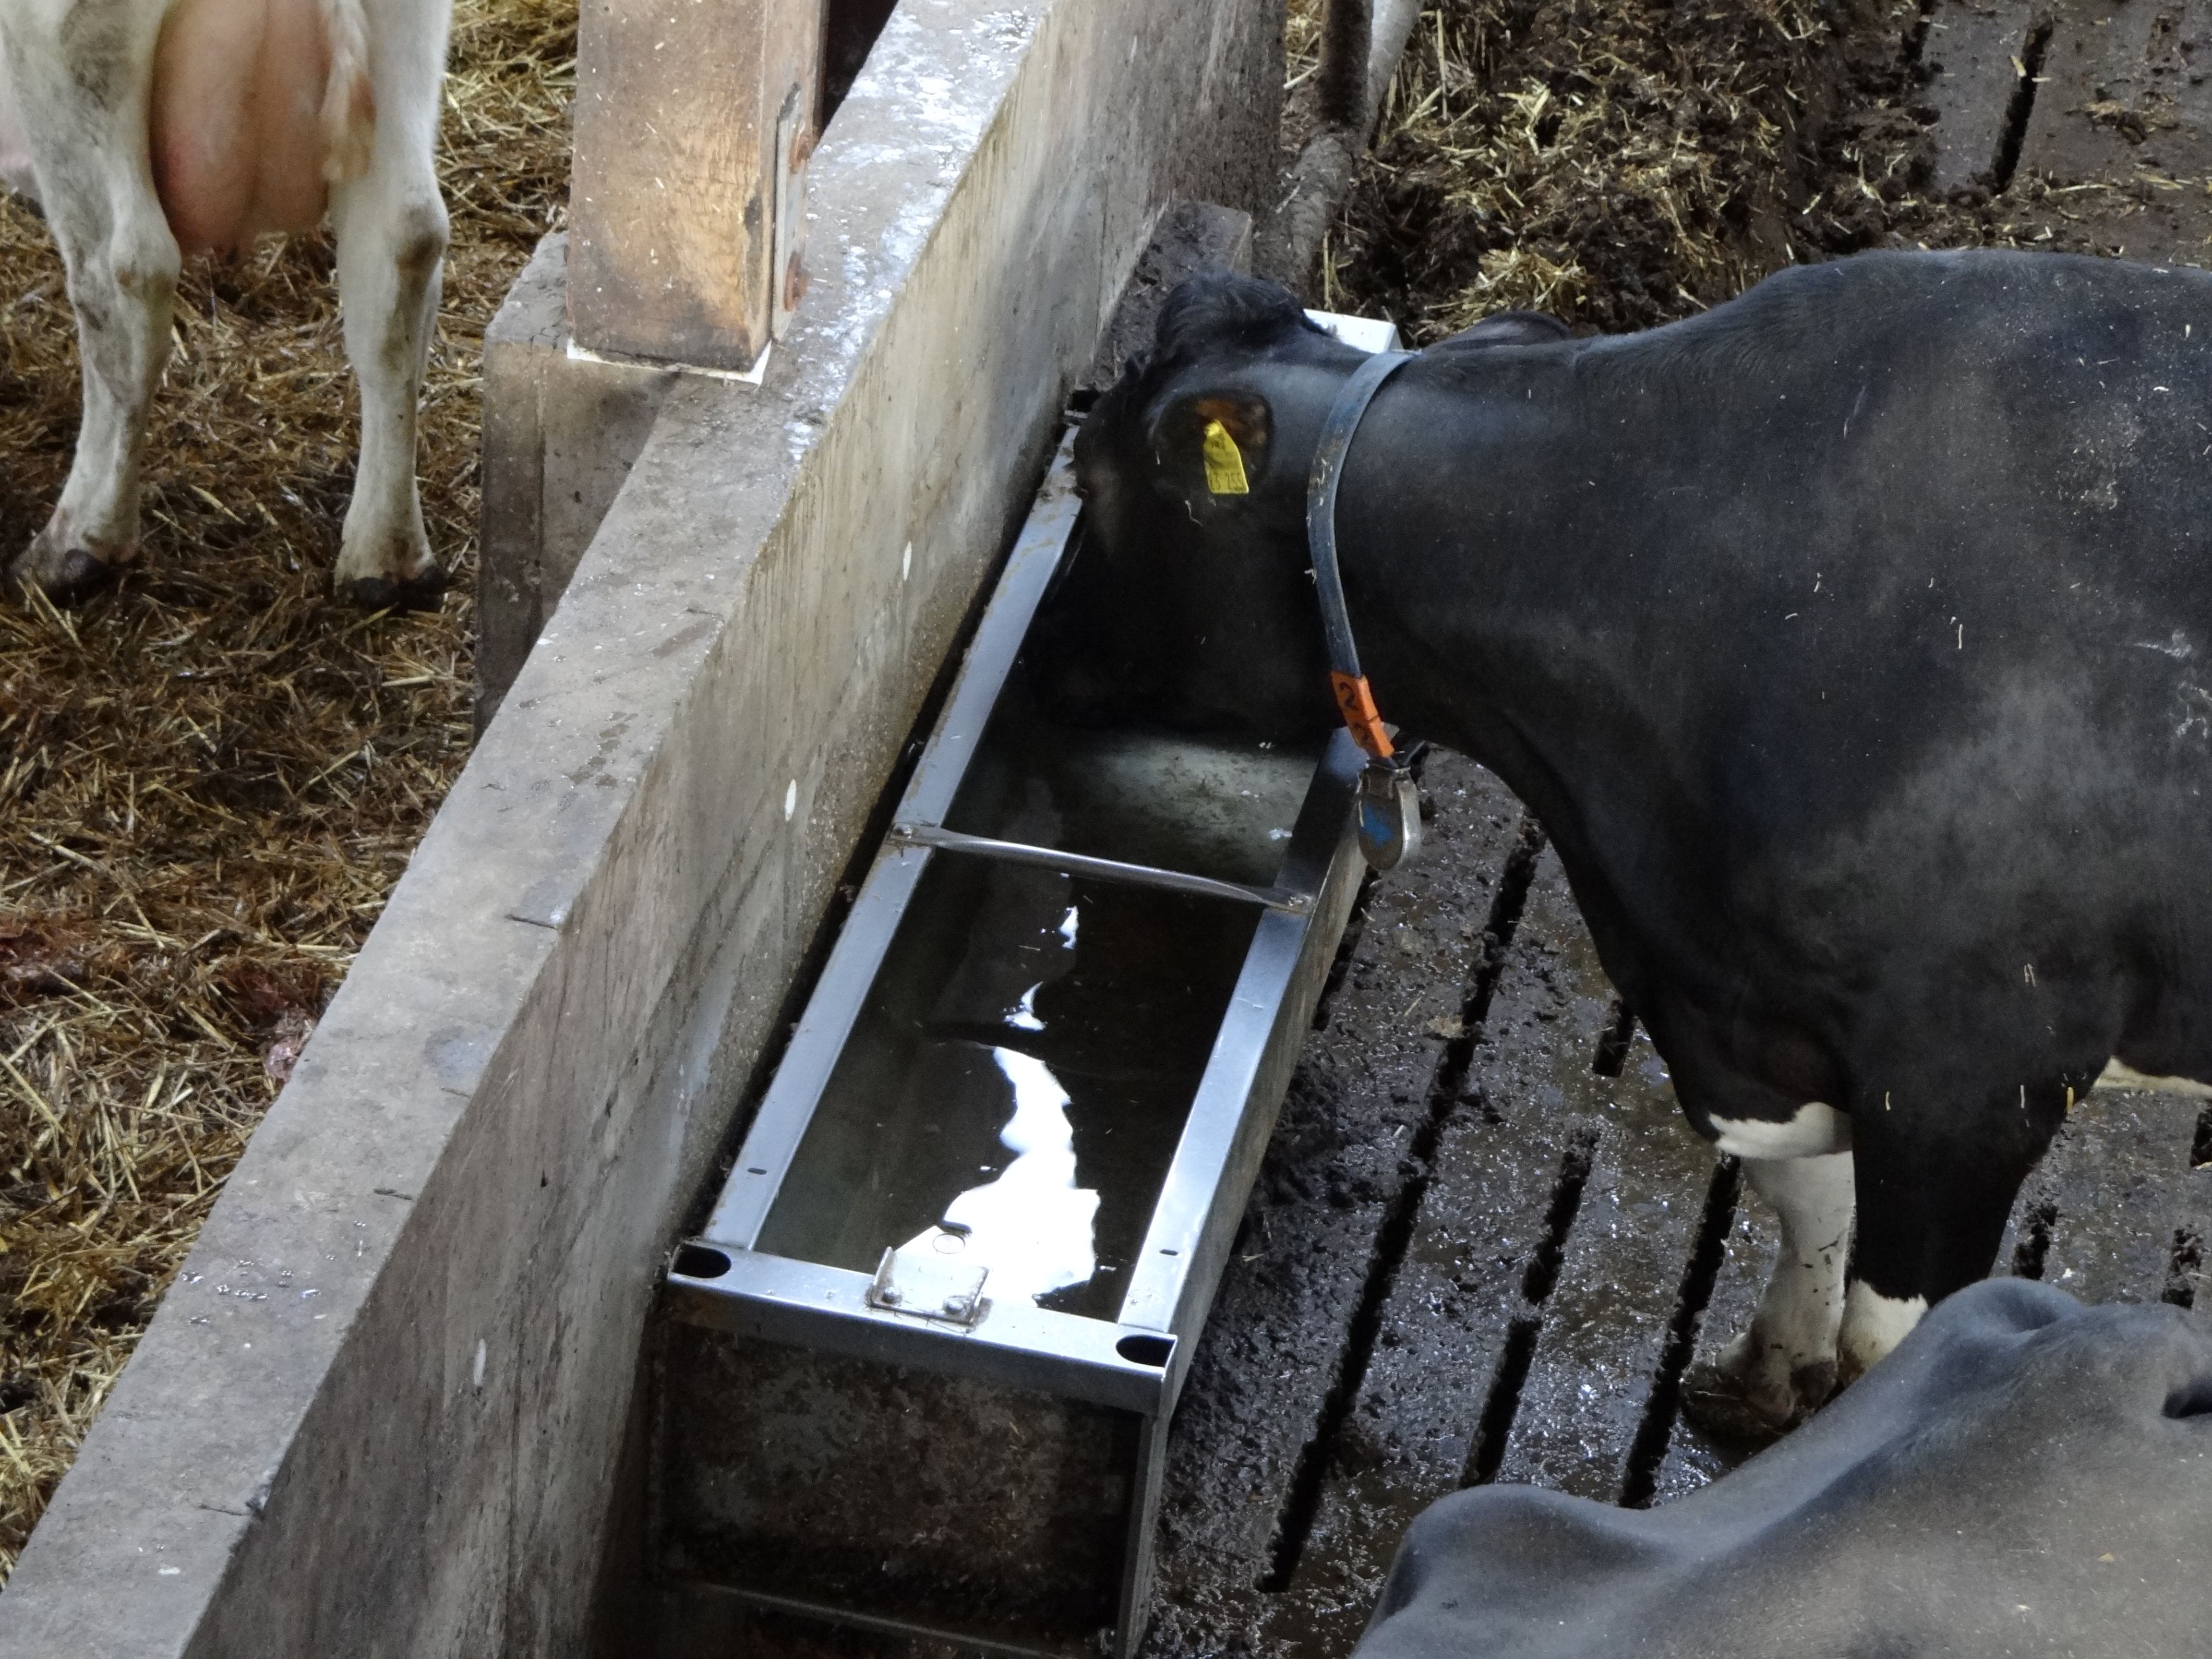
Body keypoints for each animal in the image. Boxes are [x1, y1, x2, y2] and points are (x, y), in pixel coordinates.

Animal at [0, 0, 449, 610]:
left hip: (69, 56)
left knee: (125, 274)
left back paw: (77, 545)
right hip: (405, 42)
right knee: (407, 243)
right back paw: (387, 560)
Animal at [1035, 253, 2212, 1433]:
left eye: (1089, 479)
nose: (1039, 668)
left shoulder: (1968, 1074)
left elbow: (1893, 1351)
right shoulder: (1759, 1022)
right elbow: (1807, 1207)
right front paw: (1763, 1381)